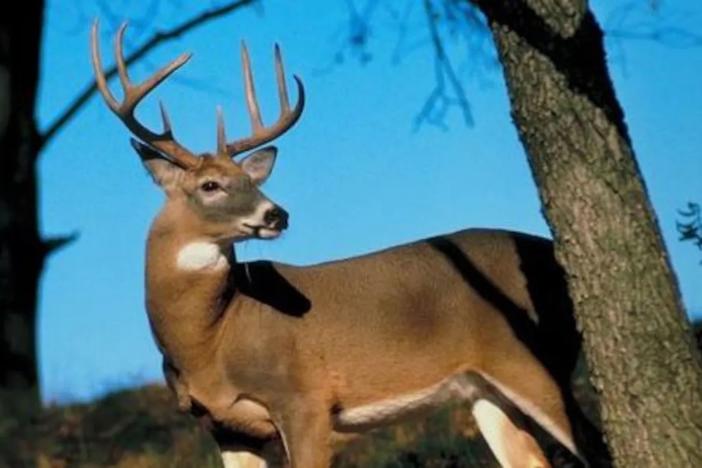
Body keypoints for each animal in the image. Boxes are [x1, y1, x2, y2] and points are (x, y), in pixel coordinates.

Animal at [92, 21, 612, 468]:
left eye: (251, 180)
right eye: (211, 185)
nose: (277, 214)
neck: (210, 340)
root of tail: (551, 254)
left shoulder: (304, 400)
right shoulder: (226, 427)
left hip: (530, 355)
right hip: (485, 389)